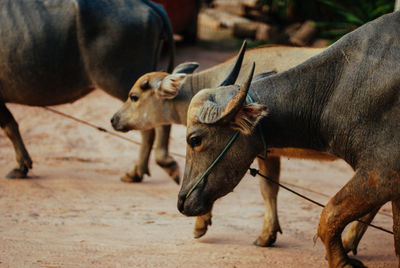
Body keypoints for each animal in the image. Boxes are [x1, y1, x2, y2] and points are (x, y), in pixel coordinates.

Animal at [0, 0, 177, 181]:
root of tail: (148, 4)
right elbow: (10, 125)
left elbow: (9, 127)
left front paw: (21, 167)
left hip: (127, 84)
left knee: (149, 127)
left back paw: (141, 171)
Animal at [111, 43, 376, 252]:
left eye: (133, 96)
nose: (114, 119)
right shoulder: (267, 152)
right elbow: (269, 189)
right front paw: (268, 235)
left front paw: (200, 224)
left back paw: (349, 242)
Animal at [180, 11, 400, 268]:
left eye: (194, 139)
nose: (182, 201)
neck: (335, 88)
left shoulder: (383, 173)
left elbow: (328, 216)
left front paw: (342, 262)